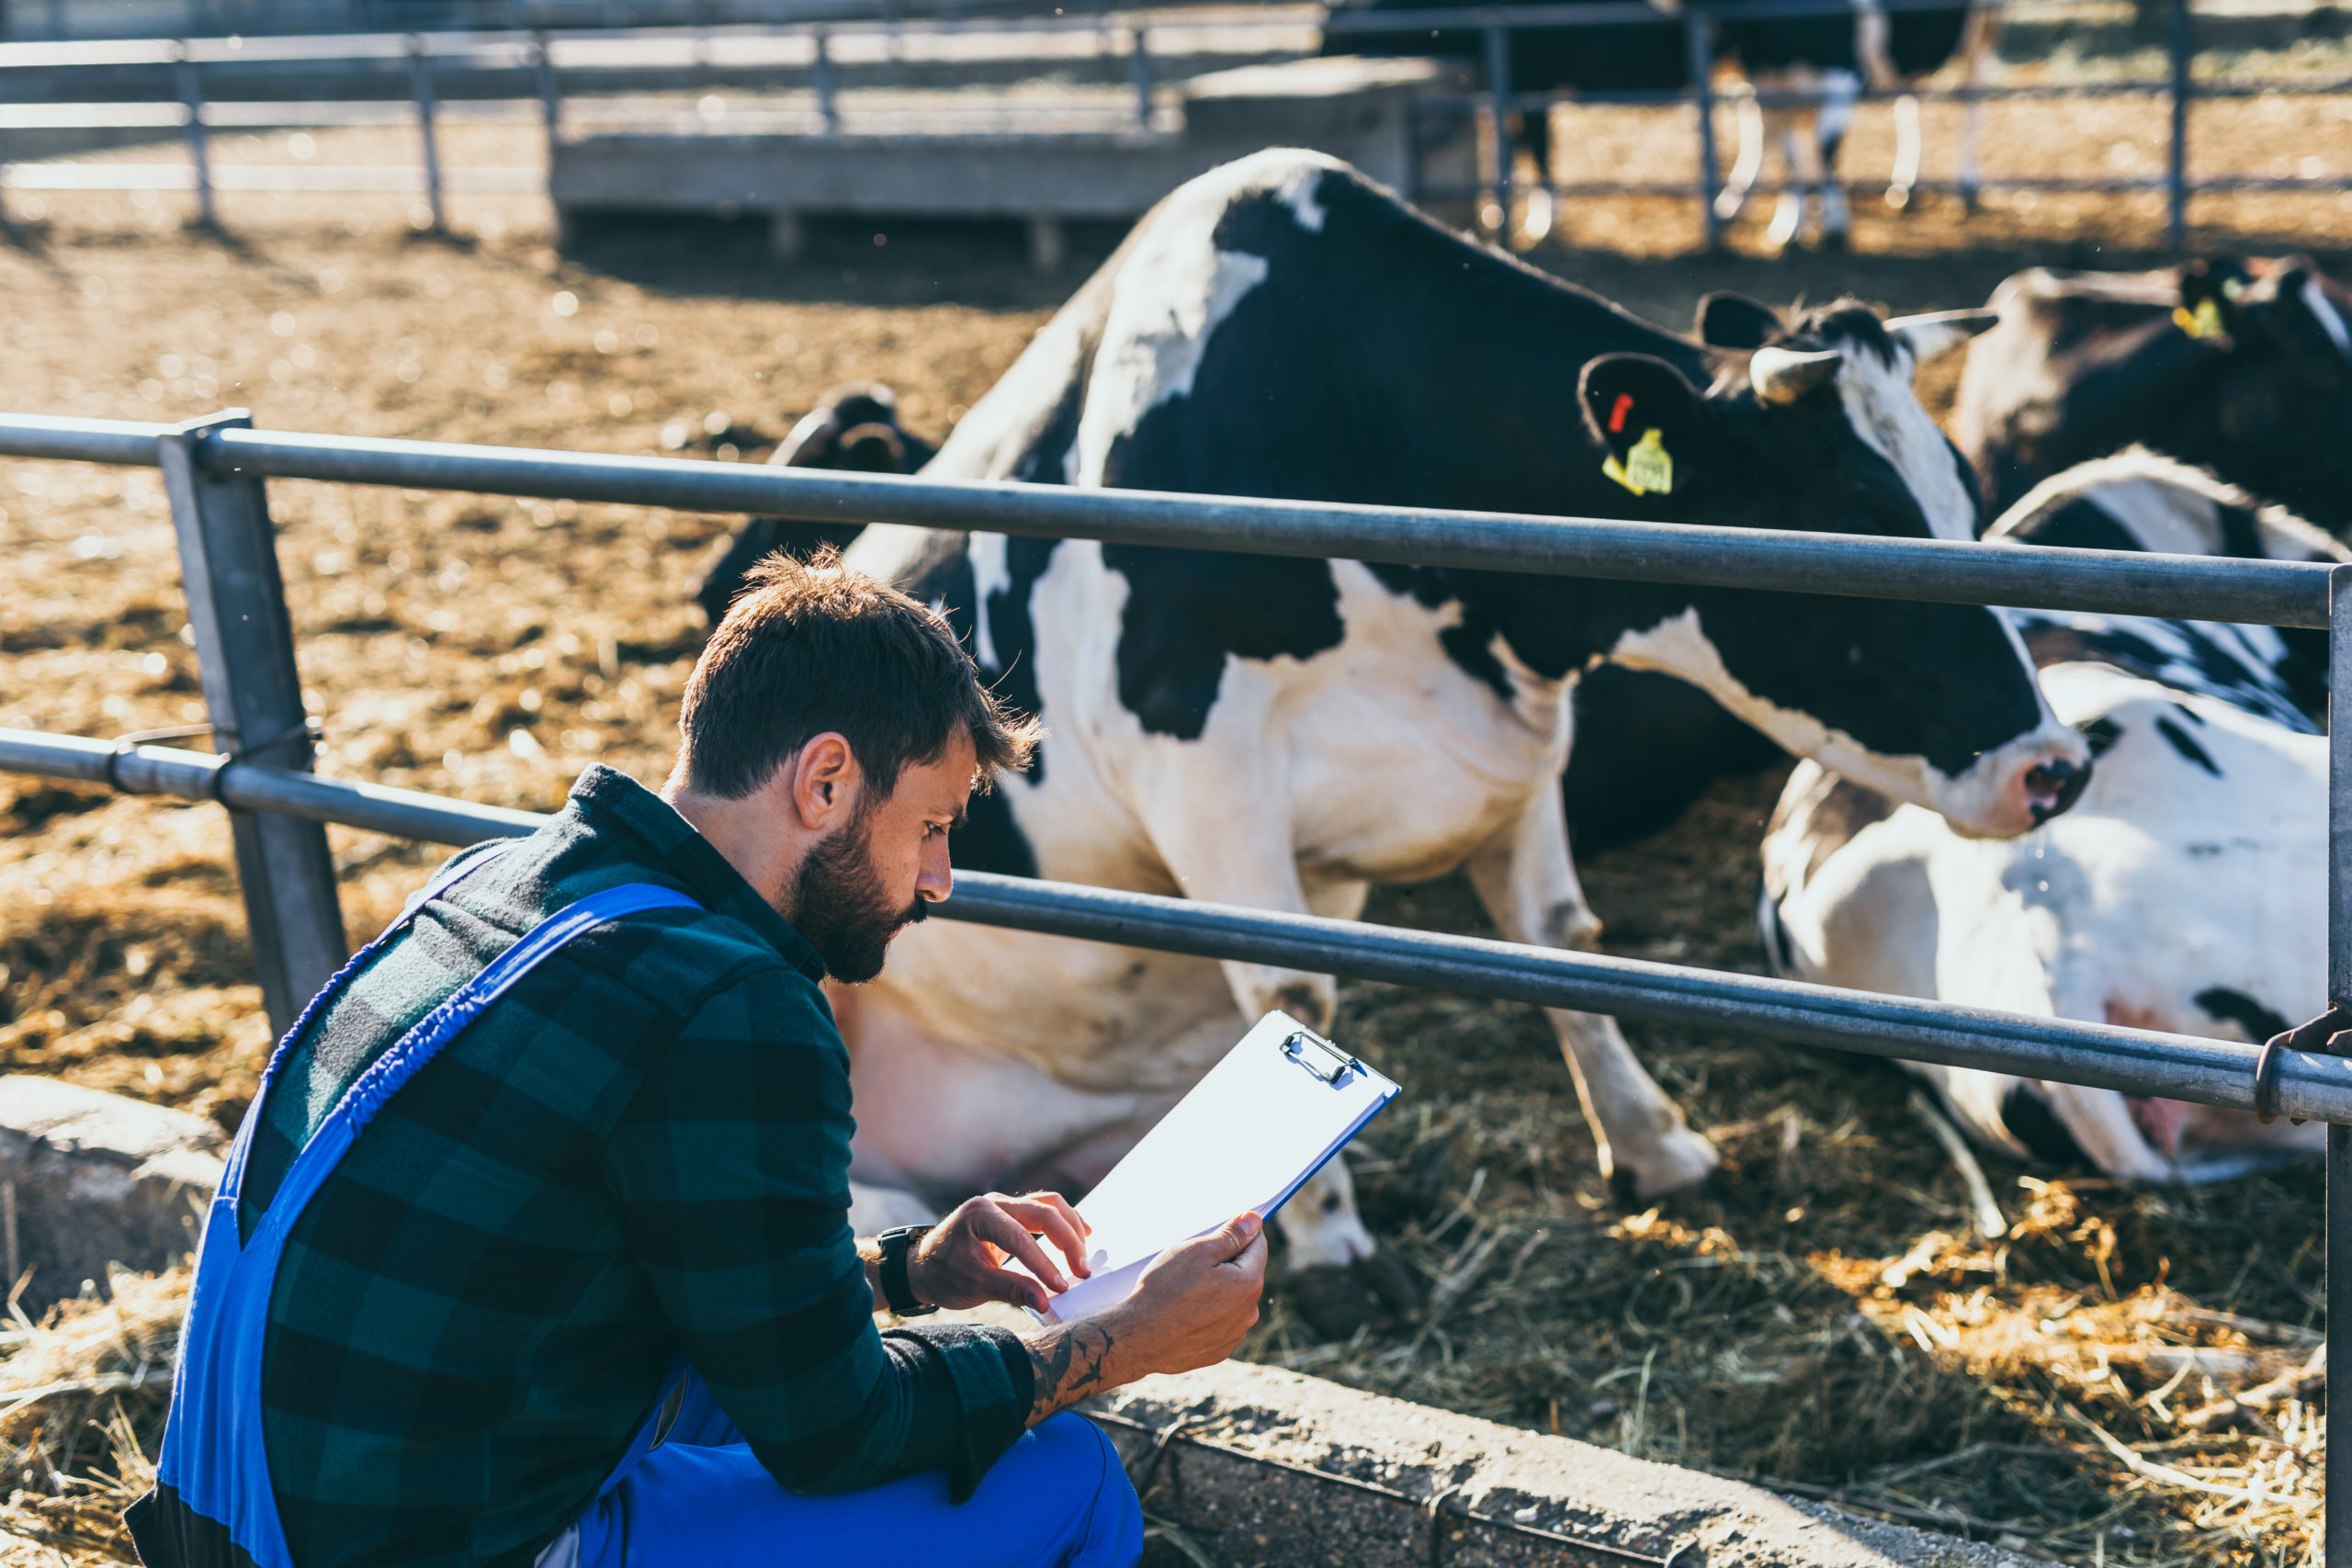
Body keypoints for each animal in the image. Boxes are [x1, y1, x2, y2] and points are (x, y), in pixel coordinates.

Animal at [837, 150, 2088, 1325]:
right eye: (1856, 523)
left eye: (1965, 493)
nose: (2055, 767)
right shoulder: (1202, 768)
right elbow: (1292, 990)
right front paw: (1334, 1250)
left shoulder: (1519, 745)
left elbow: (1560, 944)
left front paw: (1654, 1148)